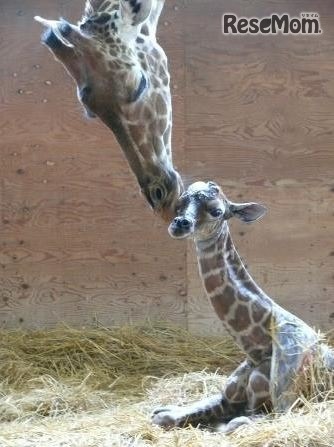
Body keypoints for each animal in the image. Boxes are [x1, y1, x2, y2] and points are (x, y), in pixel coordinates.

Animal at [152, 180, 334, 432]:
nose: (180, 224)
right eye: (180, 204)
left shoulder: (284, 410)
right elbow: (164, 416)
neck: (259, 354)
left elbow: (237, 422)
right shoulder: (226, 398)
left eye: (216, 211)